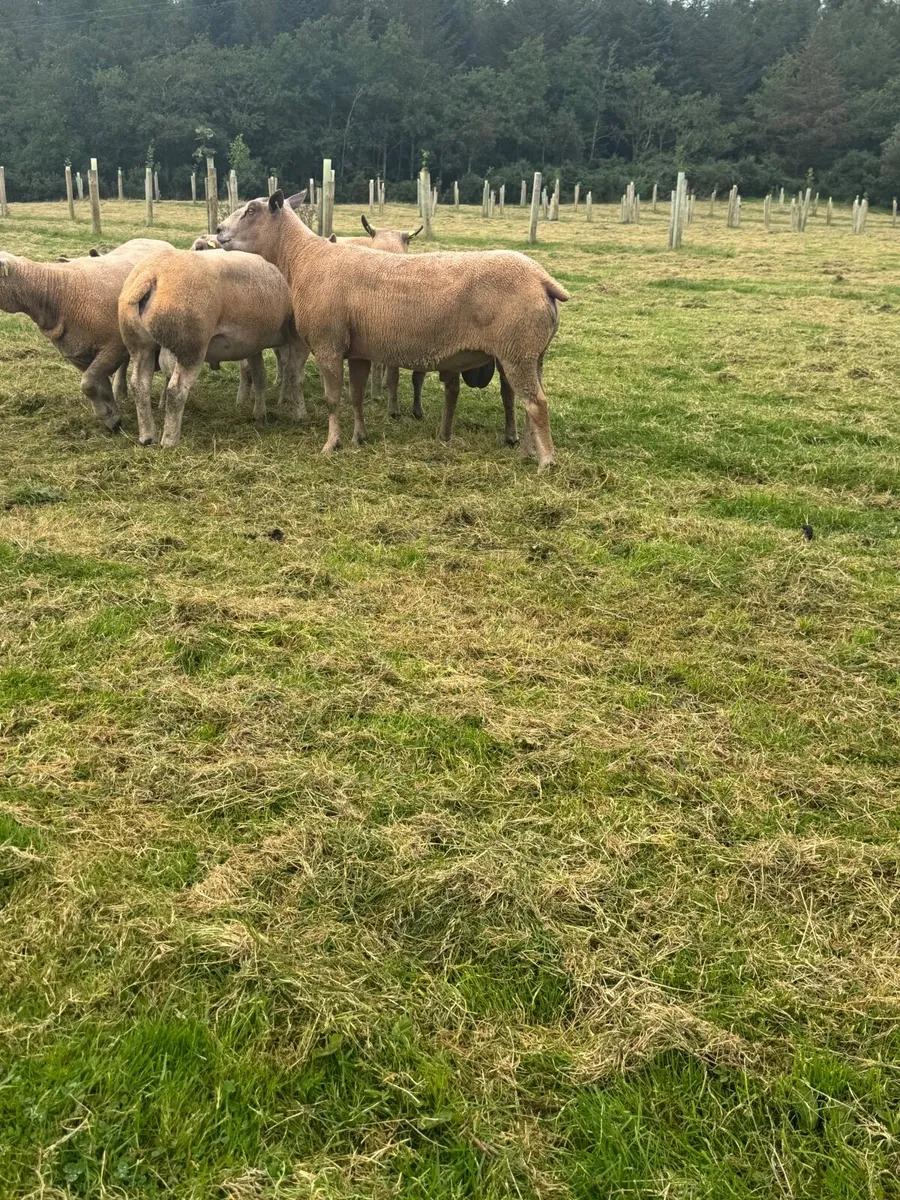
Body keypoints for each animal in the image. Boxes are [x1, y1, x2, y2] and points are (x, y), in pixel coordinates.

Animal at [0, 238, 173, 430]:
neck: (59, 291)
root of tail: (153, 239)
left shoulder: (113, 347)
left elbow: (88, 383)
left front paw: (108, 416)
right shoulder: (78, 355)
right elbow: (95, 385)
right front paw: (112, 416)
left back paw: (163, 402)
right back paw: (120, 392)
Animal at [119, 246, 308, 448]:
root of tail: (150, 276)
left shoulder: (253, 345)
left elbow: (259, 377)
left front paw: (260, 413)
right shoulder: (298, 340)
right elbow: (295, 377)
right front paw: (300, 414)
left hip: (140, 345)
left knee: (139, 385)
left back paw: (147, 436)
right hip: (190, 346)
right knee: (175, 391)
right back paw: (170, 440)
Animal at [214, 192, 568, 468]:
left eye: (251, 210)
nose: (218, 231)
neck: (304, 259)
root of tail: (543, 280)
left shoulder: (328, 343)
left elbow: (332, 399)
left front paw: (331, 444)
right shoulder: (358, 351)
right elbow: (355, 396)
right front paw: (359, 436)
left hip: (517, 351)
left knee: (536, 403)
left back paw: (546, 462)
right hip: (533, 353)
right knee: (529, 402)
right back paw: (527, 453)